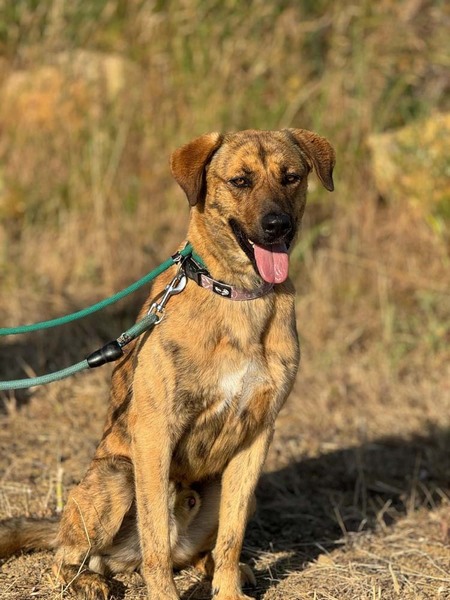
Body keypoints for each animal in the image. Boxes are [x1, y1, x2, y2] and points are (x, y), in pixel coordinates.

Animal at [0, 128, 335, 600]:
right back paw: (89, 580)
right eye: (240, 181)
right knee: (72, 558)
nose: (277, 226)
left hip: (224, 488)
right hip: (117, 476)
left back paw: (219, 568)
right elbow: (156, 537)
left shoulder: (256, 436)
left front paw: (228, 590)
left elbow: (232, 537)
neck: (238, 296)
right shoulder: (156, 433)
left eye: (291, 177)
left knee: (195, 551)